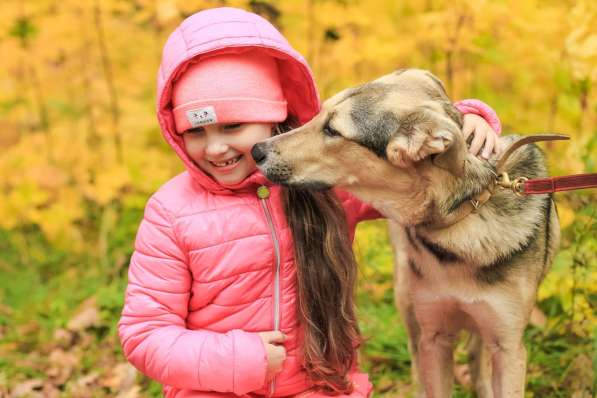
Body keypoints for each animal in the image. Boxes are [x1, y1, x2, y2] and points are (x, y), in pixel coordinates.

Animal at [251, 69, 560, 398]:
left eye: (333, 130)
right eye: (319, 114)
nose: (256, 150)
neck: (462, 217)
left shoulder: (508, 347)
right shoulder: (434, 337)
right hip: (407, 301)